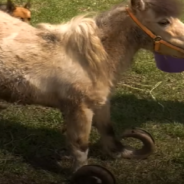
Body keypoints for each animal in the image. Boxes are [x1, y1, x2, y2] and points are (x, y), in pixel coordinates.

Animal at [0, 0, 183, 172]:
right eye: (163, 21)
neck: (88, 59)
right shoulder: (81, 108)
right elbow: (81, 146)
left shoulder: (101, 103)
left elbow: (108, 131)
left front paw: (123, 152)